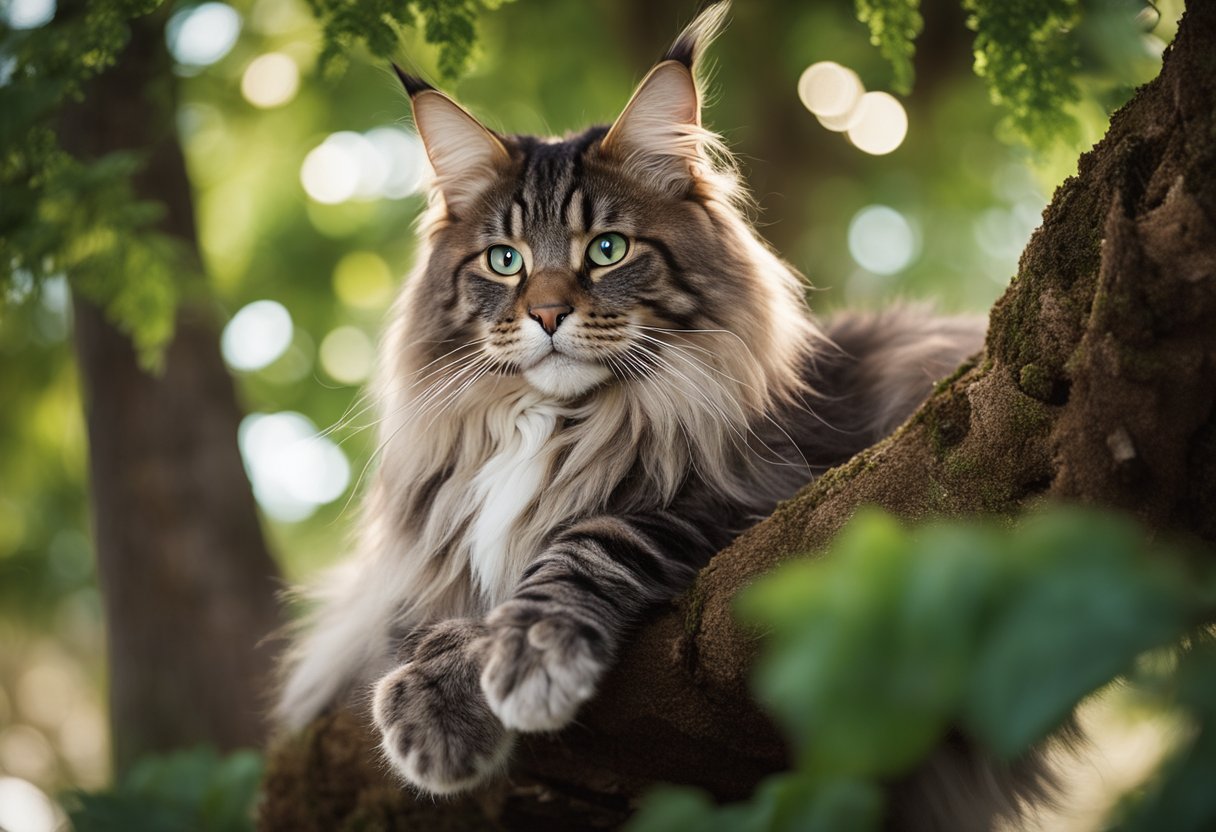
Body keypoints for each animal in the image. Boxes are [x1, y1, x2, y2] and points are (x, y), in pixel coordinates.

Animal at [276, 3, 1045, 827]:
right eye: (505, 261)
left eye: (608, 250)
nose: (547, 314)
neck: (553, 426)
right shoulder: (419, 555)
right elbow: (417, 619)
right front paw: (434, 704)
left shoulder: (761, 498)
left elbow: (588, 541)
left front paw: (527, 654)